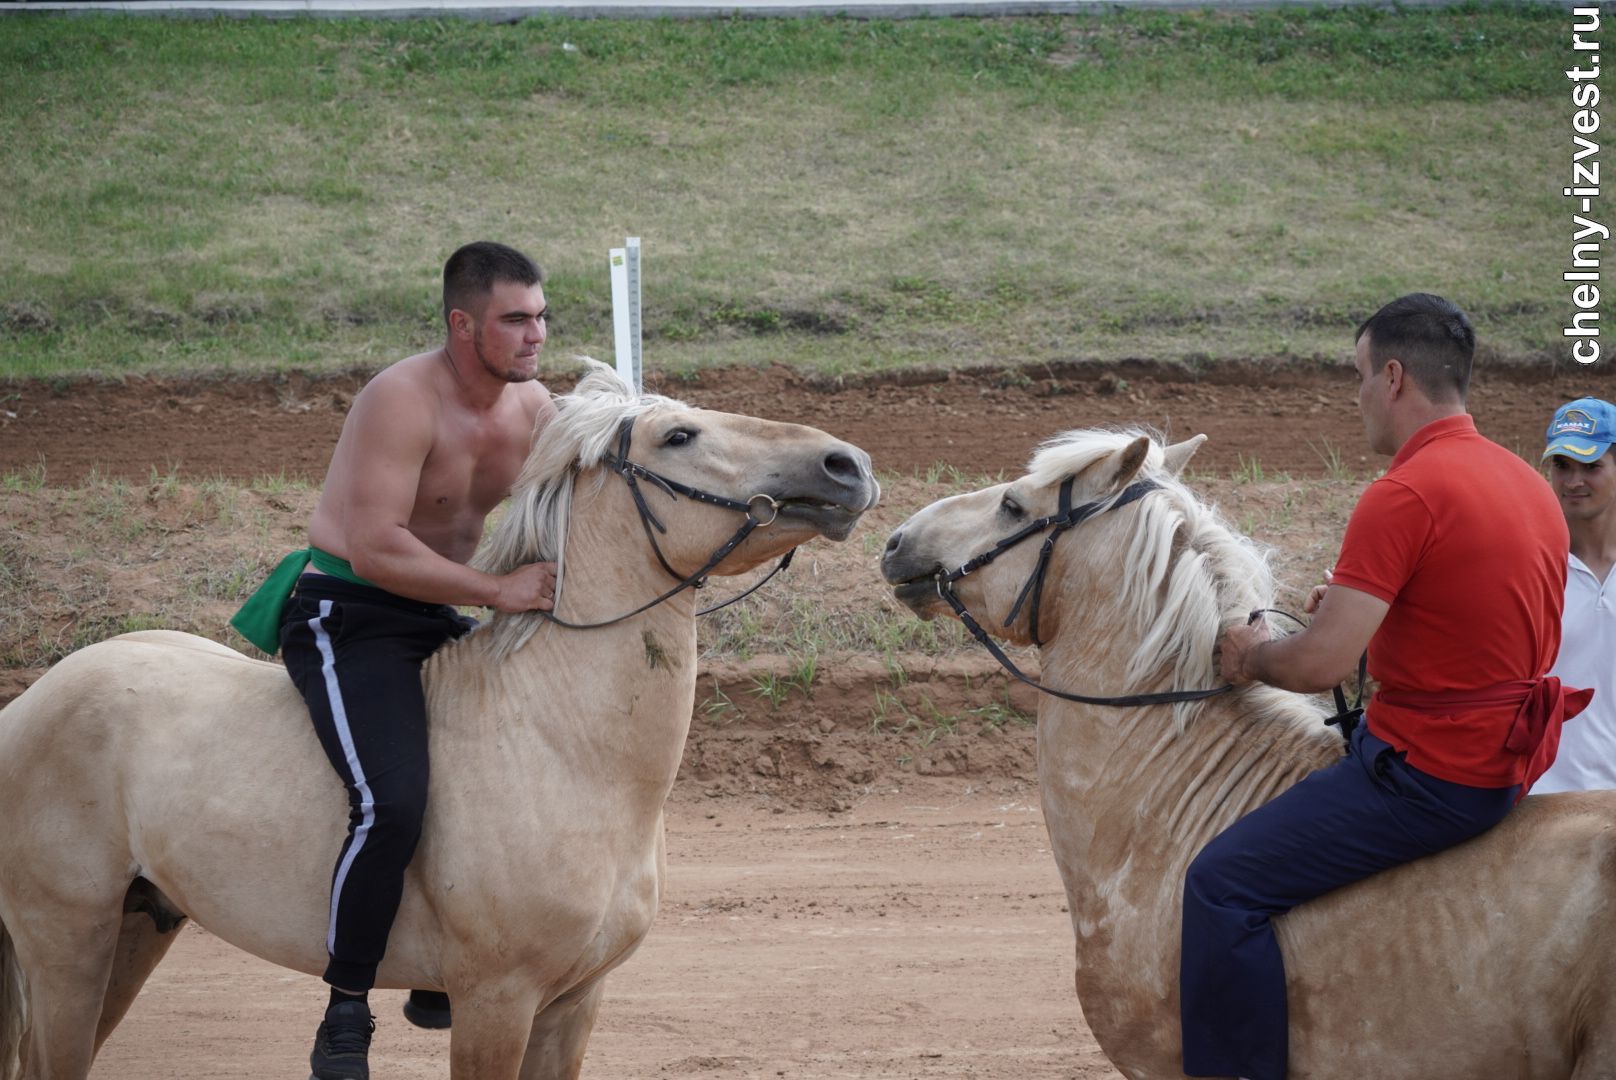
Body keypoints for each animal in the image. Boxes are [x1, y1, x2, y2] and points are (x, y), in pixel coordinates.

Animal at [3, 365, 885, 1080]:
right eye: (678, 435)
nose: (850, 465)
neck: (561, 747)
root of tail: (27, 704)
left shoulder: (572, 1007)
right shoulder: (497, 1002)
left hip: (135, 932)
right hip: (66, 943)